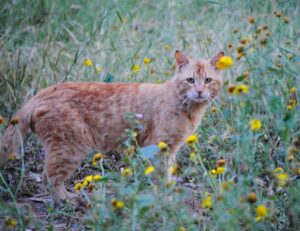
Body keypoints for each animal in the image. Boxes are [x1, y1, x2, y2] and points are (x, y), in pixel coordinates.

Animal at [0, 50, 225, 202]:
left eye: (208, 80)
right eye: (190, 80)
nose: (199, 91)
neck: (187, 108)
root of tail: (40, 94)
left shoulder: (168, 150)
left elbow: (166, 175)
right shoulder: (159, 146)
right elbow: (160, 176)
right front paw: (165, 199)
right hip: (70, 147)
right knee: (49, 176)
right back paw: (67, 200)